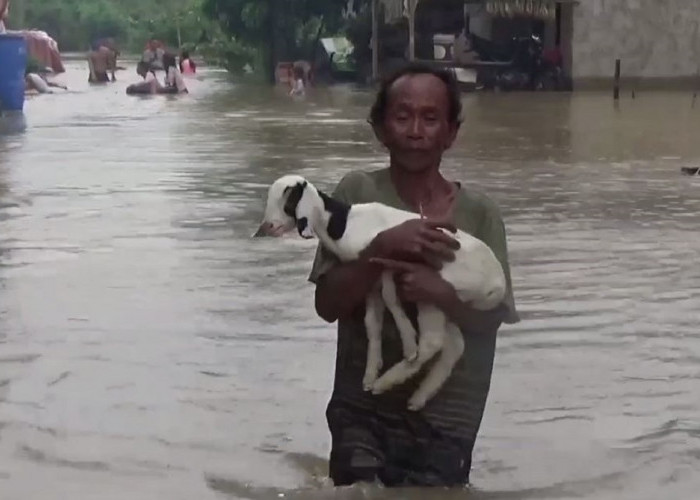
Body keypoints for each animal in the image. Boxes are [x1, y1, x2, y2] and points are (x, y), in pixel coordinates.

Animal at [254, 175, 506, 410]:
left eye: (288, 201)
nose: (265, 228)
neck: (342, 223)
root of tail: (498, 285)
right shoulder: (370, 279)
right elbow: (372, 322)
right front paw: (369, 374)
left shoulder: (388, 263)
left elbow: (390, 298)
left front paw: (408, 347)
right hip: (450, 300)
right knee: (454, 345)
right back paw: (417, 397)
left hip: (434, 288)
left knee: (433, 342)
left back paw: (388, 380)